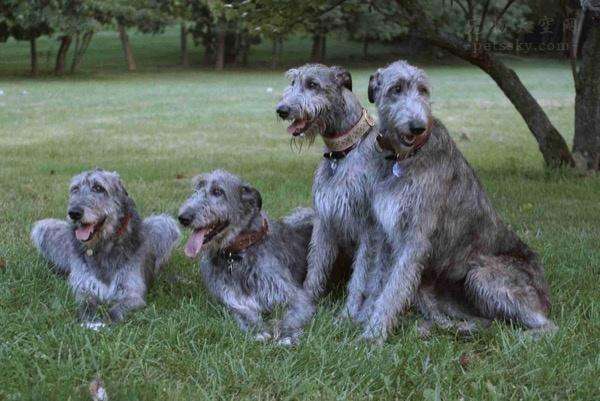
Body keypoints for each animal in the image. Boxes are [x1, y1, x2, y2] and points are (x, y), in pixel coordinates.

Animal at [31, 169, 180, 324]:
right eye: (75, 189)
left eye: (98, 188)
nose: (74, 213)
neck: (103, 245)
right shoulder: (84, 286)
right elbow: (86, 301)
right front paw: (89, 318)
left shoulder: (132, 293)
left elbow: (119, 308)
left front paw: (107, 321)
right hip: (46, 228)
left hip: (163, 224)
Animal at [178, 169, 316, 344]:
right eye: (196, 189)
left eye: (218, 192)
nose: (183, 217)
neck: (237, 254)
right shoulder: (230, 297)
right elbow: (242, 311)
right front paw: (257, 329)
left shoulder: (294, 294)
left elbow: (293, 314)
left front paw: (287, 334)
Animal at [276, 63, 384, 324]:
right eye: (293, 82)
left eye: (313, 84)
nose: (281, 110)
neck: (343, 152)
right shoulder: (323, 221)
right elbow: (315, 267)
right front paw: (305, 303)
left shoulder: (369, 229)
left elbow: (361, 278)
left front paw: (348, 314)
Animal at [364, 61, 560, 342]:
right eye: (396, 89)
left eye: (423, 90)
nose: (418, 127)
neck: (404, 158)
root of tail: (545, 295)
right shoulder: (387, 234)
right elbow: (384, 284)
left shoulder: (415, 237)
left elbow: (393, 289)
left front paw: (373, 335)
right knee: (475, 319)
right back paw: (448, 327)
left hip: (482, 275)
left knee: (547, 326)